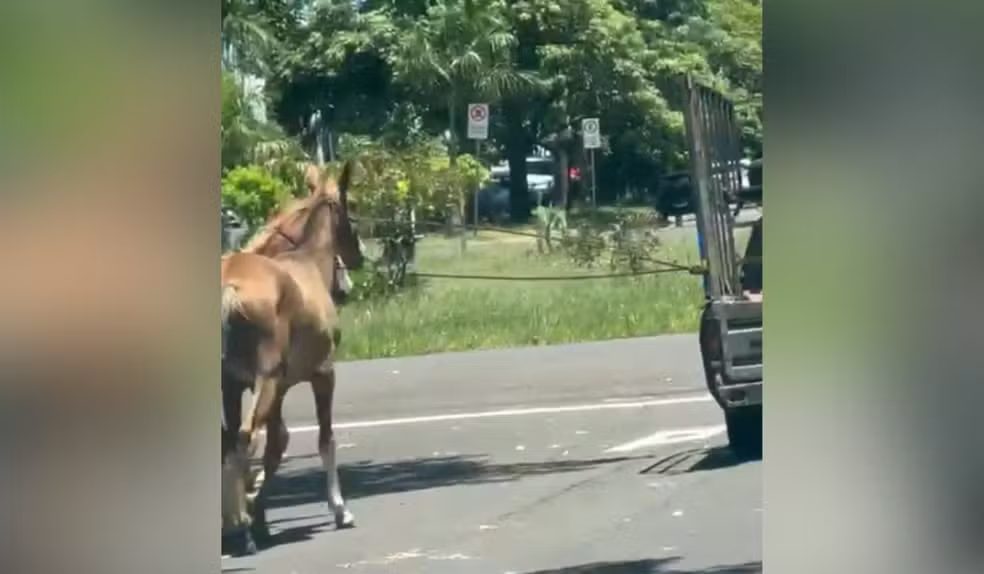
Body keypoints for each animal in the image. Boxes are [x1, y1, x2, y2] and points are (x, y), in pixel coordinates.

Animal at [220, 161, 364, 555]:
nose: (359, 258)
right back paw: (241, 530)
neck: (308, 263)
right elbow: (325, 439)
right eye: (352, 206)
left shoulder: (280, 388)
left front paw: (259, 513)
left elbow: (277, 443)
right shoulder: (323, 374)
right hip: (264, 379)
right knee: (243, 437)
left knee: (231, 441)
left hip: (233, 385)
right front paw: (341, 510)